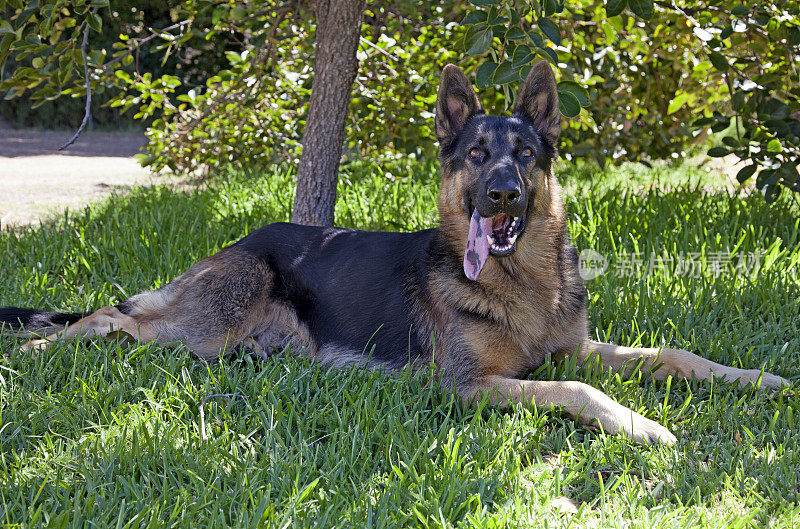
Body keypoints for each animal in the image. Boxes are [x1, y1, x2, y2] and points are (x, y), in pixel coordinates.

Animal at [0, 59, 788, 444]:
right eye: (476, 155)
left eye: (525, 155)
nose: (501, 195)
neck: (521, 282)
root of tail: (242, 239)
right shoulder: (469, 387)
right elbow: (581, 391)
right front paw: (645, 425)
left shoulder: (573, 349)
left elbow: (676, 355)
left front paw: (756, 378)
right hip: (207, 324)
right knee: (111, 317)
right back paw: (40, 349)